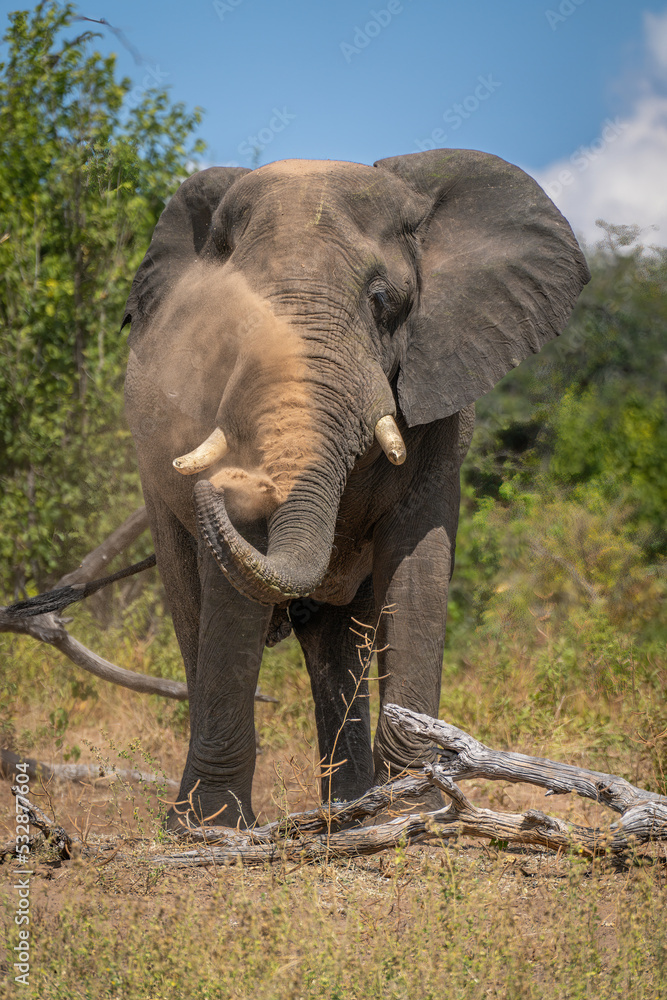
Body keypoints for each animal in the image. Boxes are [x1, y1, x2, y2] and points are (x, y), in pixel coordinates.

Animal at [121, 148, 588, 828]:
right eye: (229, 315)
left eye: (382, 300)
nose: (217, 485)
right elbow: (229, 603)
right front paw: (211, 828)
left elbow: (418, 563)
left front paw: (411, 811)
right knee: (194, 606)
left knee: (335, 637)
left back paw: (350, 811)